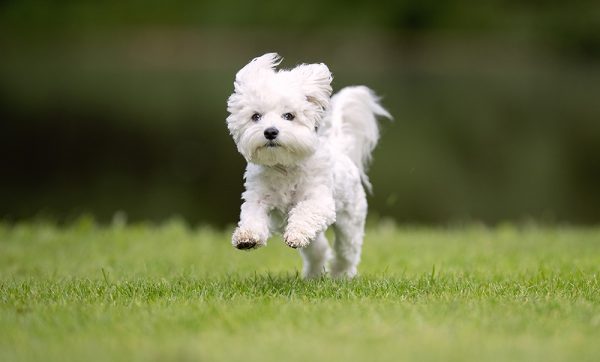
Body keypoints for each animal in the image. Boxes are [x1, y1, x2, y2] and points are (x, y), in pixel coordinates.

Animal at [225, 53, 390, 278]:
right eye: (255, 116)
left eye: (289, 116)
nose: (270, 131)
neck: (285, 166)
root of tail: (340, 150)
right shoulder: (257, 198)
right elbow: (251, 216)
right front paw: (247, 237)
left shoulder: (319, 201)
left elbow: (306, 212)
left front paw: (296, 234)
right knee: (319, 250)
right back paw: (313, 275)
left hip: (350, 220)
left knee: (347, 252)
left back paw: (341, 275)